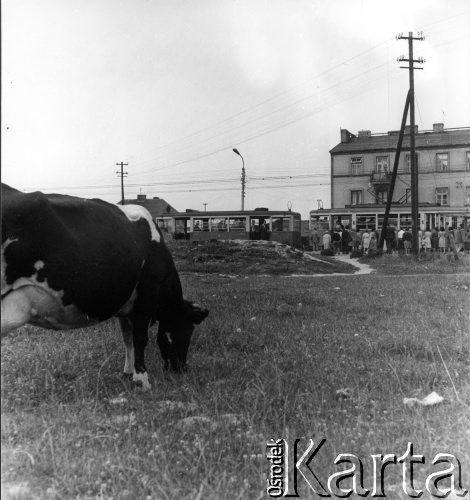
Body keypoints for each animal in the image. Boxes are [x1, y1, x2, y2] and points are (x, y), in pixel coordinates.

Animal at [0, 184, 208, 390]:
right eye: (187, 331)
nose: (181, 369)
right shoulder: (146, 297)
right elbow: (140, 339)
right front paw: (142, 380)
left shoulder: (128, 306)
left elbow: (127, 338)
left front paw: (128, 371)